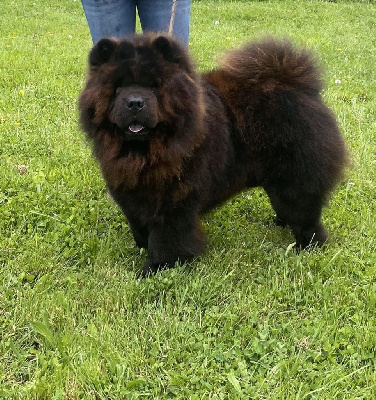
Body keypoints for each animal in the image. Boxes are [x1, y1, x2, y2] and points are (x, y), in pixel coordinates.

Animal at [78, 34, 346, 276]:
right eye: (118, 88)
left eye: (154, 87)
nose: (134, 102)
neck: (145, 153)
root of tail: (299, 88)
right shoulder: (132, 196)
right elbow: (140, 227)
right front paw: (143, 247)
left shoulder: (174, 202)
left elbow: (166, 240)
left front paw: (155, 268)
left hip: (294, 179)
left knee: (305, 215)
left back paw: (306, 247)